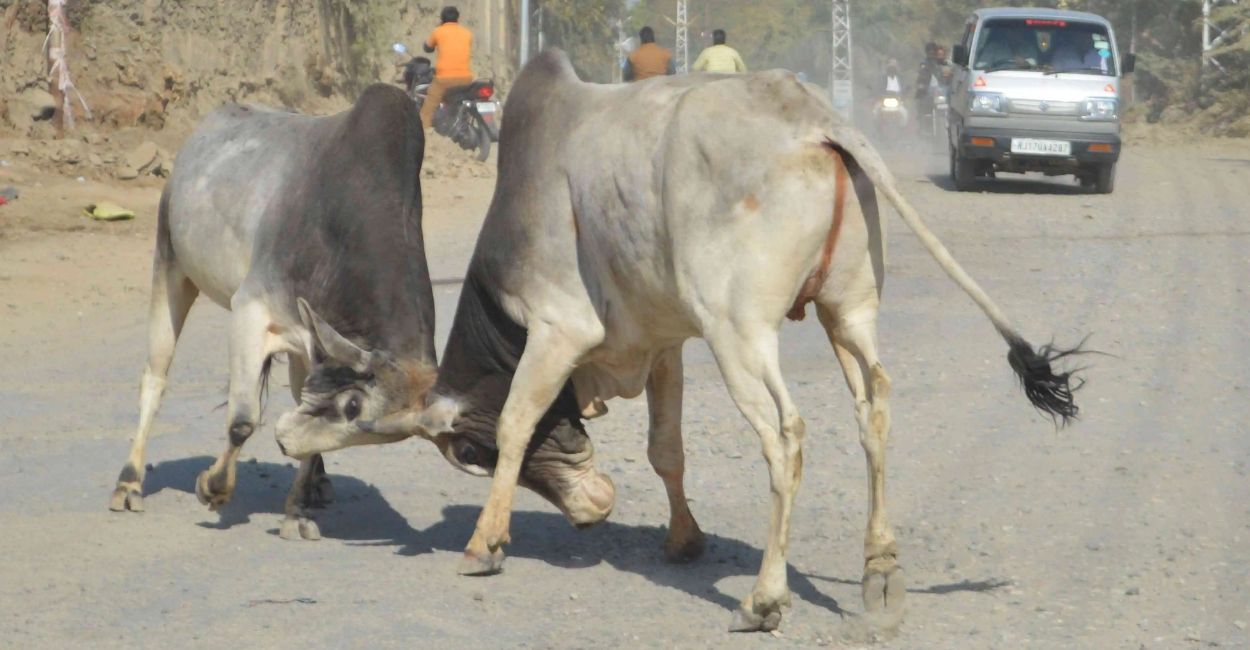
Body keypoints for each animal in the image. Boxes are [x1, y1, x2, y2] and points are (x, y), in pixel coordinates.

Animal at [109, 84, 437, 541]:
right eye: (352, 407)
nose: (285, 442)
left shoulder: (314, 344)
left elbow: (299, 413)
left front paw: (295, 512)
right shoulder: (249, 309)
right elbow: (243, 420)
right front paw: (212, 488)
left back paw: (317, 483)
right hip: (170, 262)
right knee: (155, 378)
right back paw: (128, 483)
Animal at [279, 51, 1081, 631]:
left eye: (463, 455)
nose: (592, 507)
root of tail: (814, 118)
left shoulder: (558, 327)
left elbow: (515, 423)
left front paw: (485, 543)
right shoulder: (664, 342)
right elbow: (667, 449)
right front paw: (684, 540)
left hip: (740, 331)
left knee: (787, 433)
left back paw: (764, 598)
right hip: (847, 310)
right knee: (874, 409)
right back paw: (880, 571)